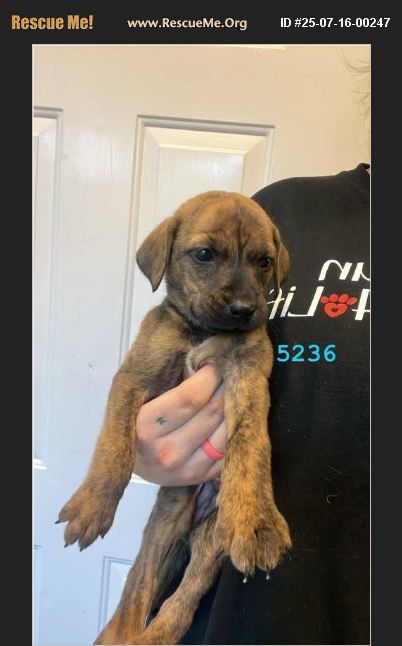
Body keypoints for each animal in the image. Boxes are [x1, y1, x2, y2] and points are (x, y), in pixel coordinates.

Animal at [57, 191, 292, 644]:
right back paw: (119, 635)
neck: (202, 331)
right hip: (163, 525)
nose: (244, 309)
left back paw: (156, 634)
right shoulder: (135, 377)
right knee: (135, 592)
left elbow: (252, 445)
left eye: (264, 262)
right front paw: (92, 504)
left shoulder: (250, 379)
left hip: (213, 538)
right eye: (204, 254)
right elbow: (113, 448)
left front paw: (255, 517)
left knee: (181, 603)